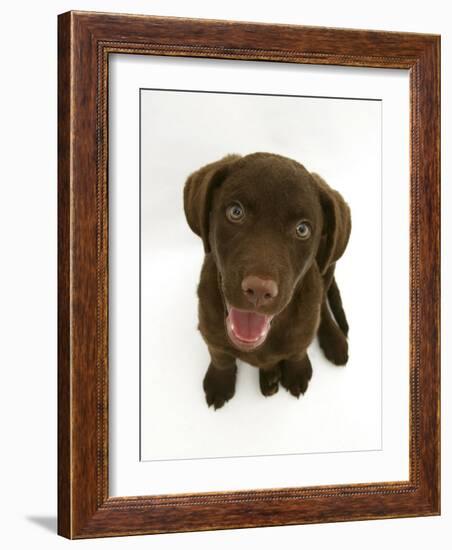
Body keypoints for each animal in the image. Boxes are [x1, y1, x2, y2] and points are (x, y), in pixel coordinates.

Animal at [182, 151, 352, 410]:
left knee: (322, 302)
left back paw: (333, 341)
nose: (259, 290)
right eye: (236, 212)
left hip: (328, 264)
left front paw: (297, 371)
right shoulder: (209, 329)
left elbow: (297, 350)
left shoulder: (301, 331)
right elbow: (220, 356)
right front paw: (219, 382)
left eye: (302, 229)